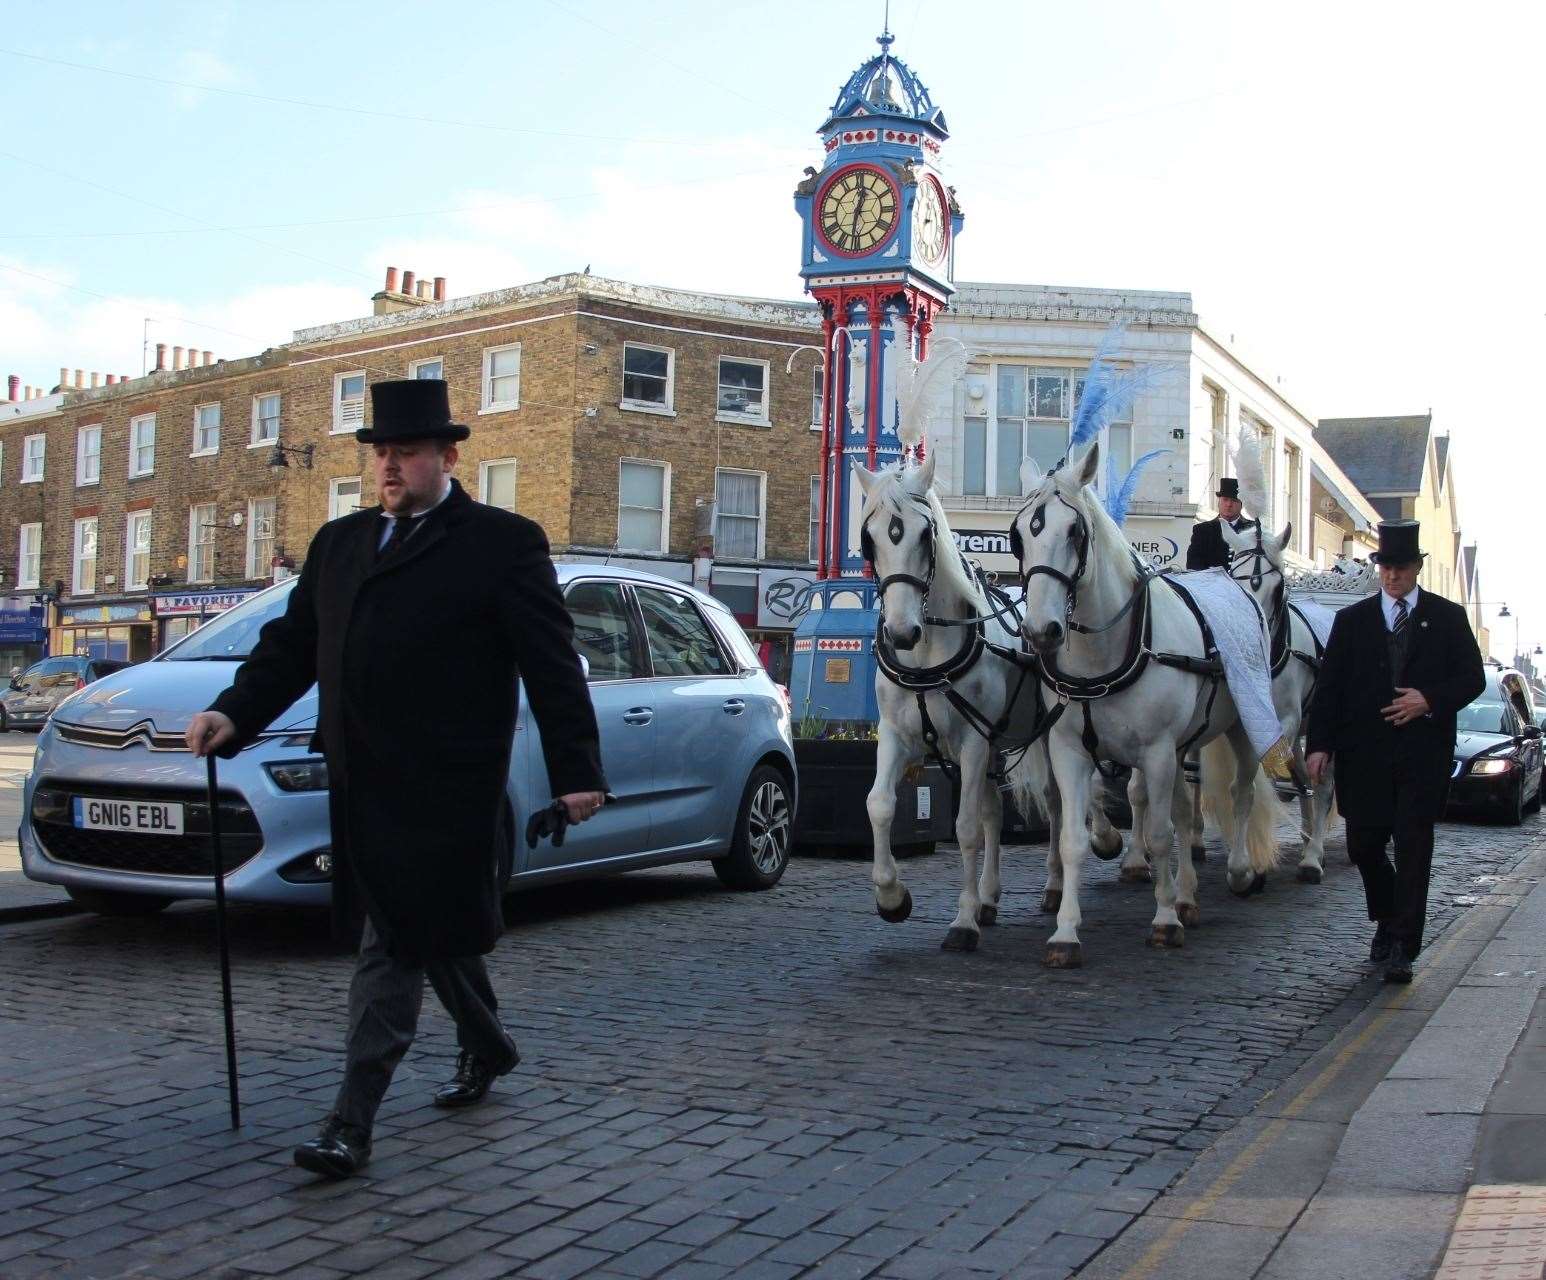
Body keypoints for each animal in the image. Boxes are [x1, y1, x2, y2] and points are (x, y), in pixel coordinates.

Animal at [853, 451, 1119, 952]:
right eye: (869, 538)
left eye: (925, 534)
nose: (901, 632)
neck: (927, 654)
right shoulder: (896, 735)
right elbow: (879, 805)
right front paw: (892, 897)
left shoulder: (973, 743)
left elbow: (965, 828)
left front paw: (962, 921)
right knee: (1005, 811)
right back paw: (993, 897)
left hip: (1043, 735)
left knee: (1060, 802)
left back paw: (1082, 860)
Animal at [1007, 445, 1273, 964]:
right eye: (1019, 535)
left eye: (1074, 531)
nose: (1041, 631)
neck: (1104, 654)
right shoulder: (1069, 750)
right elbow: (1072, 839)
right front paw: (1066, 932)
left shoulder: (1156, 751)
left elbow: (1159, 834)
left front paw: (1165, 920)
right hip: (1182, 745)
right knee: (1185, 811)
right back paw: (1188, 895)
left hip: (1239, 725)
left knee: (1240, 792)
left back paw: (1237, 871)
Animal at [1218, 519, 1341, 878]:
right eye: (1234, 578)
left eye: (1278, 588)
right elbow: (1244, 785)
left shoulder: (1284, 721)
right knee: (1305, 777)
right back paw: (1307, 838)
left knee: (1322, 785)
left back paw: (1313, 855)